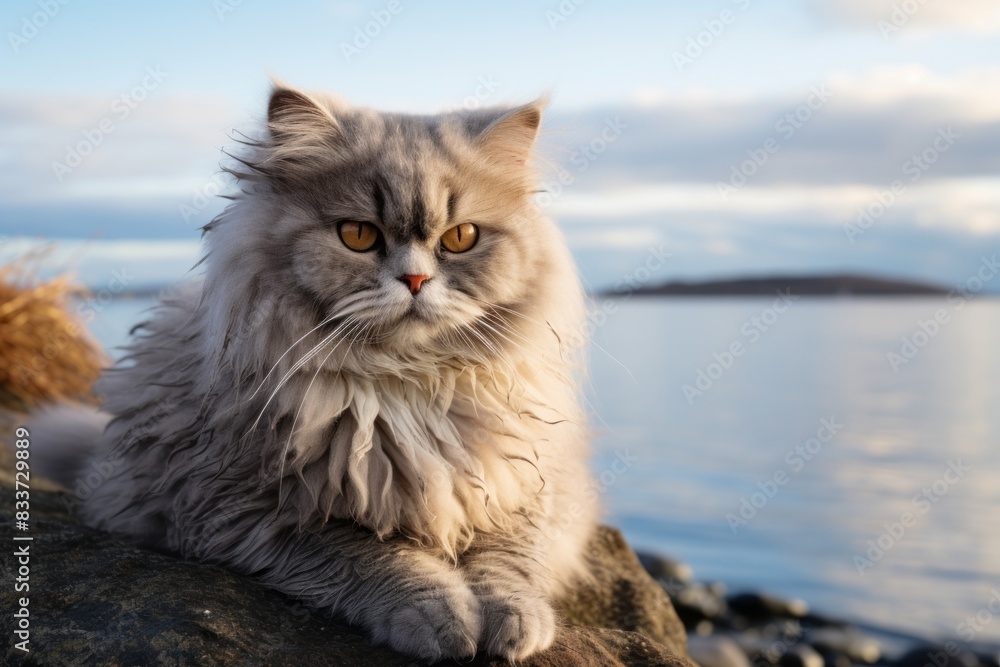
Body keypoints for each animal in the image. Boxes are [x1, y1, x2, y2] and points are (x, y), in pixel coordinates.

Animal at [27, 83, 596, 664]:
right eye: (358, 235)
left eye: (460, 238)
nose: (415, 280)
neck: (408, 387)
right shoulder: (252, 512)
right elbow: (375, 560)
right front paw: (441, 619)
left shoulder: (519, 487)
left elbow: (506, 562)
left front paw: (514, 621)